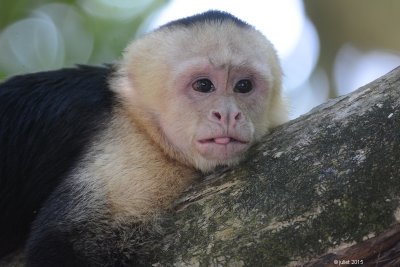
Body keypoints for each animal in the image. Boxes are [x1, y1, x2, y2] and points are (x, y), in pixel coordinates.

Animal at [0, 9, 288, 266]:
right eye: (203, 85)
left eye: (244, 86)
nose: (228, 114)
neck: (145, 125)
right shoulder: (133, 147)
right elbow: (61, 243)